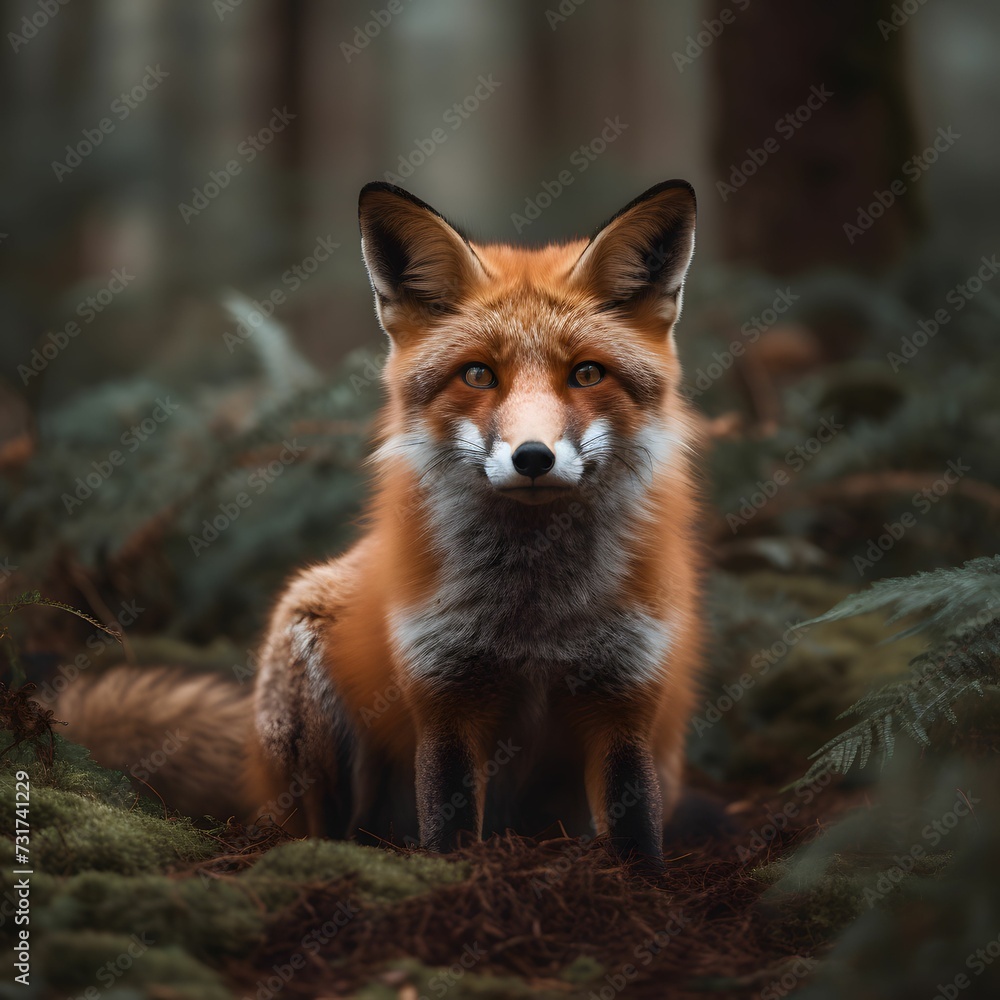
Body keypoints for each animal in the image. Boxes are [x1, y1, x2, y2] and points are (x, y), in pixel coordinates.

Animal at [53, 179, 703, 868]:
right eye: (478, 374)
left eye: (586, 373)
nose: (533, 457)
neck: (534, 616)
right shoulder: (444, 696)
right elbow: (448, 828)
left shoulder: (624, 698)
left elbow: (638, 836)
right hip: (309, 676)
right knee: (326, 827)